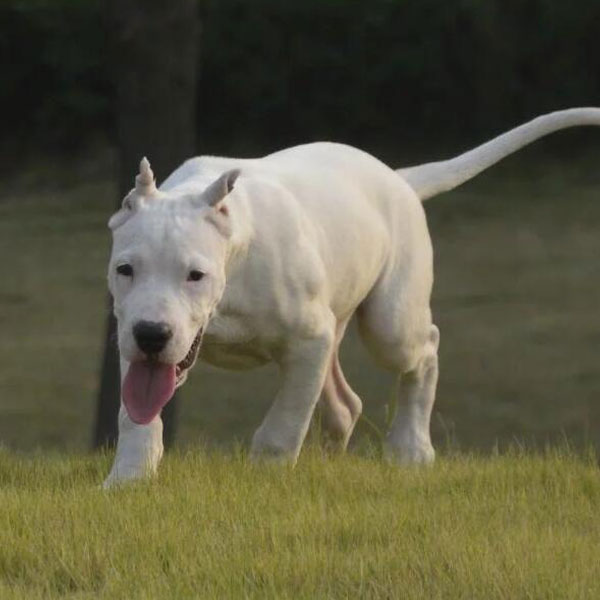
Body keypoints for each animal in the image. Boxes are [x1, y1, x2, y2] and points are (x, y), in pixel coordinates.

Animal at [102, 109, 596, 488]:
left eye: (196, 275)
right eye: (125, 270)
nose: (152, 334)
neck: (234, 254)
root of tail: (396, 178)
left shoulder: (308, 338)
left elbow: (283, 425)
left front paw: (265, 479)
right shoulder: (131, 340)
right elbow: (135, 415)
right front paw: (130, 477)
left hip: (389, 323)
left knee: (425, 348)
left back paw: (411, 448)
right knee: (344, 402)